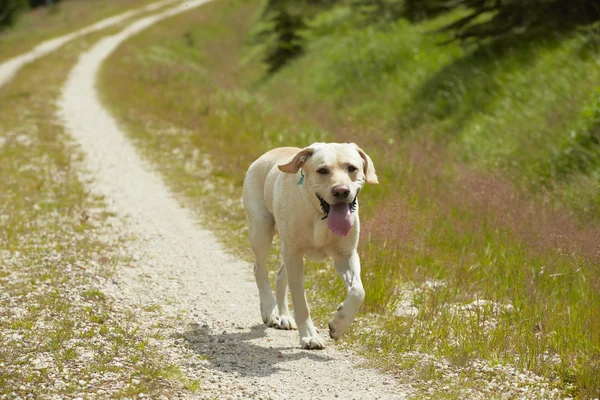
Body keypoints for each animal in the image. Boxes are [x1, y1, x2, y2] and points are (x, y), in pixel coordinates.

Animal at [241, 142, 378, 348]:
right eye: (322, 170)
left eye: (352, 168)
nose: (341, 191)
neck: (320, 214)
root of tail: (267, 154)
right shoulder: (295, 255)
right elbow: (301, 302)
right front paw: (310, 336)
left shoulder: (345, 255)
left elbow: (358, 291)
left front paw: (339, 324)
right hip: (262, 230)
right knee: (260, 269)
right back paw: (270, 310)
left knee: (280, 275)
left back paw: (284, 317)